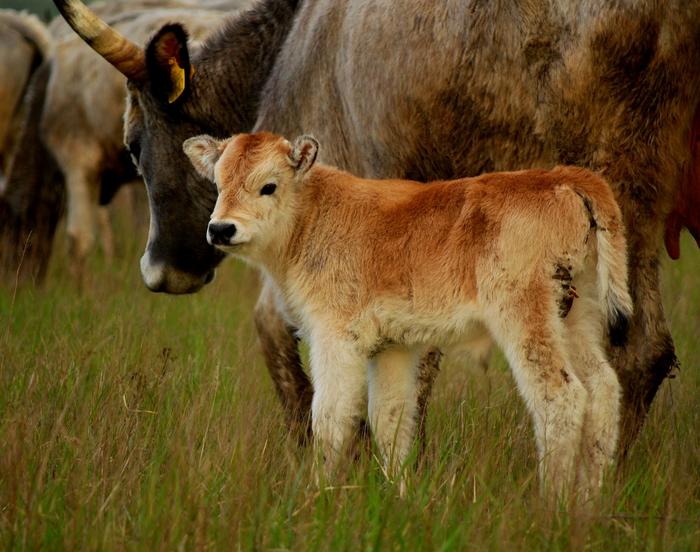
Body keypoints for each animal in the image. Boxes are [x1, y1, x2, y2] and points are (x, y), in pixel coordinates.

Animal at [185, 130, 636, 500]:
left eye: (269, 186)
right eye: (218, 184)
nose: (221, 229)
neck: (313, 214)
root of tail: (562, 178)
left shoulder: (336, 338)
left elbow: (330, 417)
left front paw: (317, 494)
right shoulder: (393, 347)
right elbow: (390, 420)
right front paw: (398, 494)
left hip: (525, 319)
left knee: (559, 396)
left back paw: (552, 507)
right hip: (576, 317)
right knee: (603, 389)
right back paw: (588, 504)